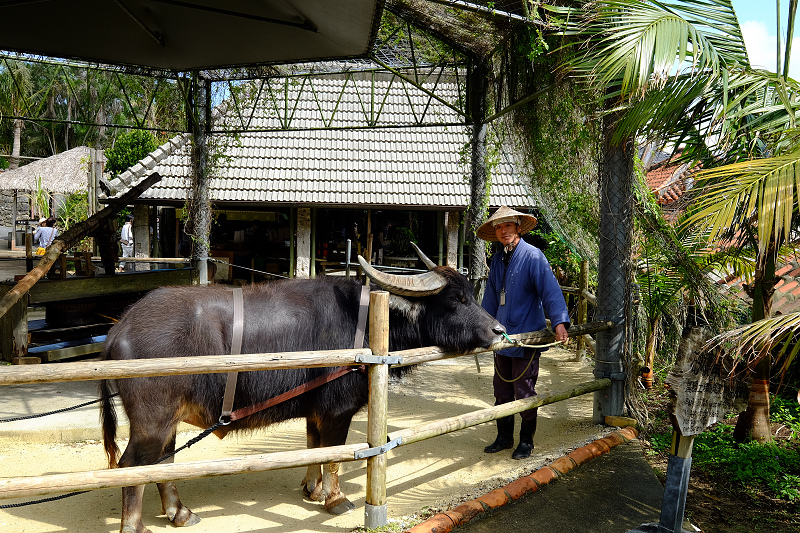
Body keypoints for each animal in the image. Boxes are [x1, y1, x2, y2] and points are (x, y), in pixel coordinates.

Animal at [98, 251, 500, 528]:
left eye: (471, 293)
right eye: (456, 299)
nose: (497, 330)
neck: (367, 324)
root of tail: (120, 328)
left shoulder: (314, 409)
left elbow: (314, 447)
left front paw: (313, 488)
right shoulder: (338, 410)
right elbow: (335, 455)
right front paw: (336, 499)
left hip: (167, 421)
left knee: (162, 464)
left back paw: (180, 513)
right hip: (152, 422)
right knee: (132, 466)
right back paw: (135, 527)